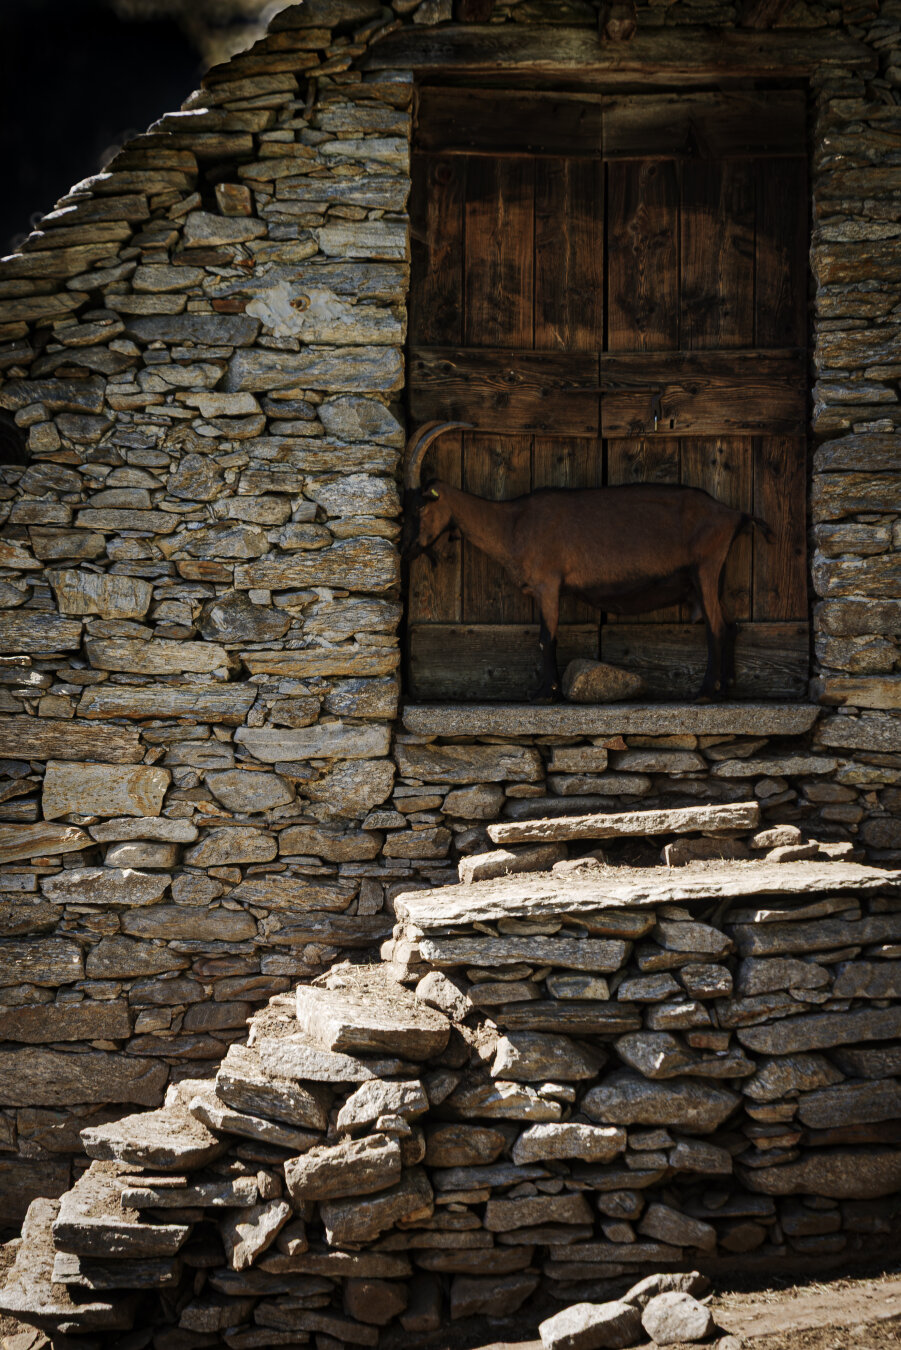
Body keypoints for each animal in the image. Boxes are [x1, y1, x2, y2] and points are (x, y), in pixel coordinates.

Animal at [402, 421, 775, 702]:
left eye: (420, 507)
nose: (405, 551)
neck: (512, 523)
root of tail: (734, 515)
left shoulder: (548, 584)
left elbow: (546, 636)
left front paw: (545, 693)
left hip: (705, 568)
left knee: (716, 627)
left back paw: (705, 692)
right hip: (712, 575)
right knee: (730, 624)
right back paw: (724, 688)